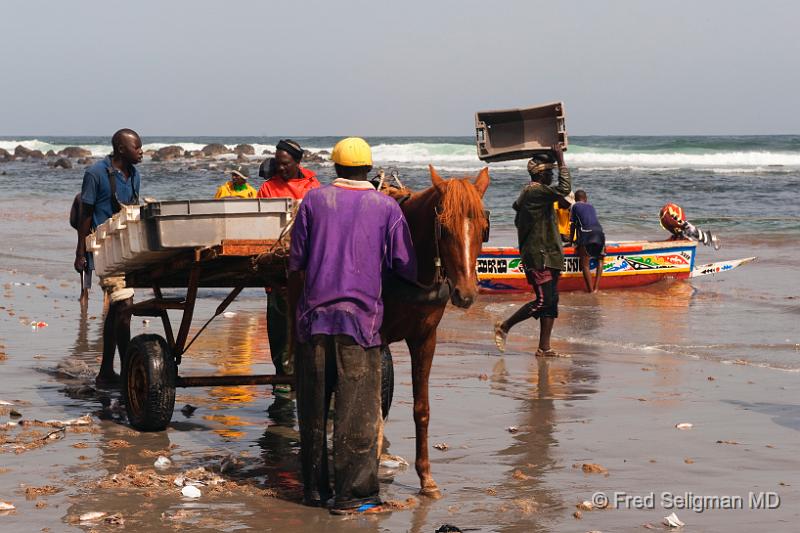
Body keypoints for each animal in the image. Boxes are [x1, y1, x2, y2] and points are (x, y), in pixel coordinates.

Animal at [382, 164, 490, 496]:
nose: (465, 293)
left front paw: (425, 477)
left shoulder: (426, 338)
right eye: (443, 228)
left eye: (483, 227)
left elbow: (421, 408)